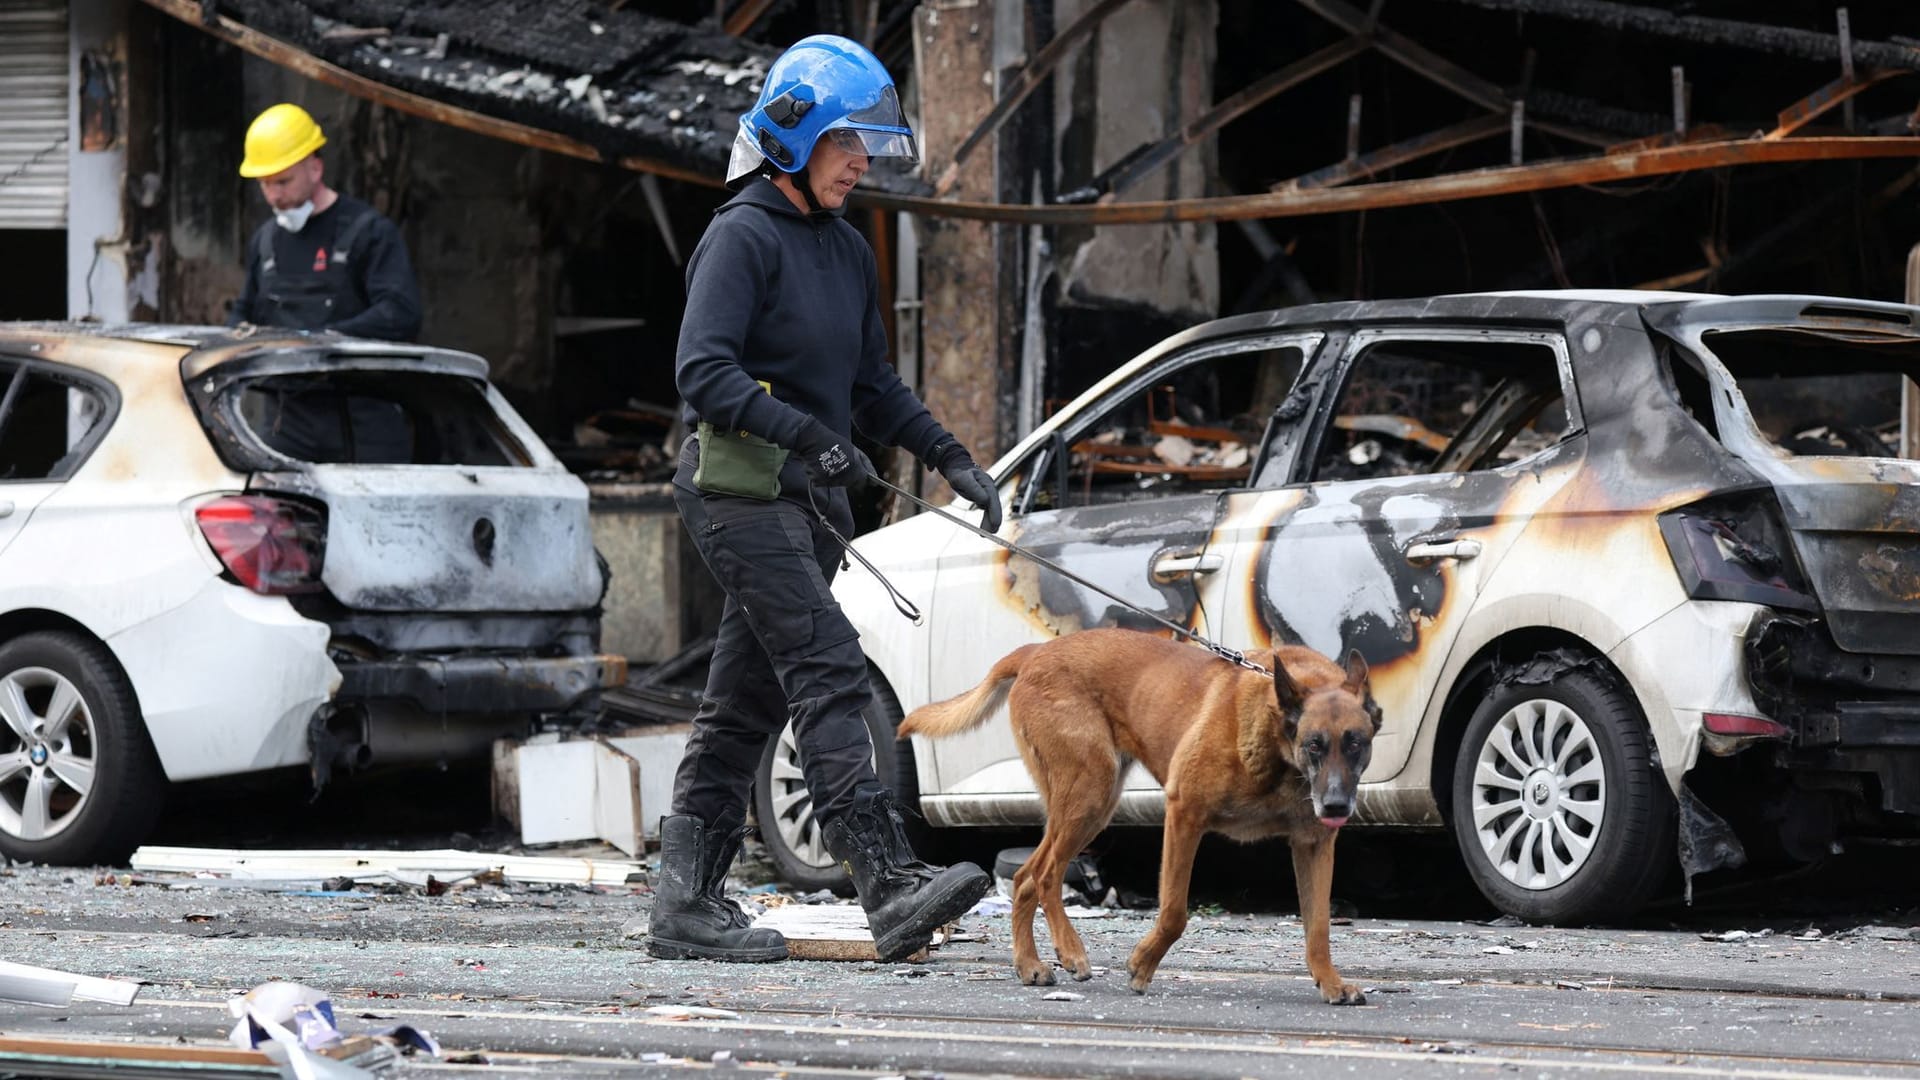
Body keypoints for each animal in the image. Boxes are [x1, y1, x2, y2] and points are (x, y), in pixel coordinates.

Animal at [898, 622, 1382, 999]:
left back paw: (1029, 964)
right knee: (1048, 873)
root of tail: (1036, 651)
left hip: (1087, 806)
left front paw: (1330, 982)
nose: (1336, 805)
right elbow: (1174, 913)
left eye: (1356, 744)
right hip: (1090, 793)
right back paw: (1069, 950)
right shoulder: (1184, 815)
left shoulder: (1313, 845)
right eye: (1314, 744)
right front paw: (1142, 965)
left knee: (1024, 877)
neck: (1277, 739)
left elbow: (1318, 927)